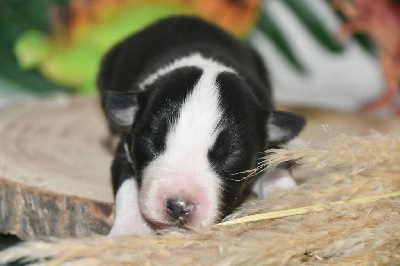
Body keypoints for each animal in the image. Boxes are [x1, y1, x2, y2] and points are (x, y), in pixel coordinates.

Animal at [98, 16, 304, 237]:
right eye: (154, 143)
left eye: (228, 155)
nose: (179, 206)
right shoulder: (126, 147)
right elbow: (127, 184)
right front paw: (130, 232)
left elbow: (277, 160)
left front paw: (285, 195)